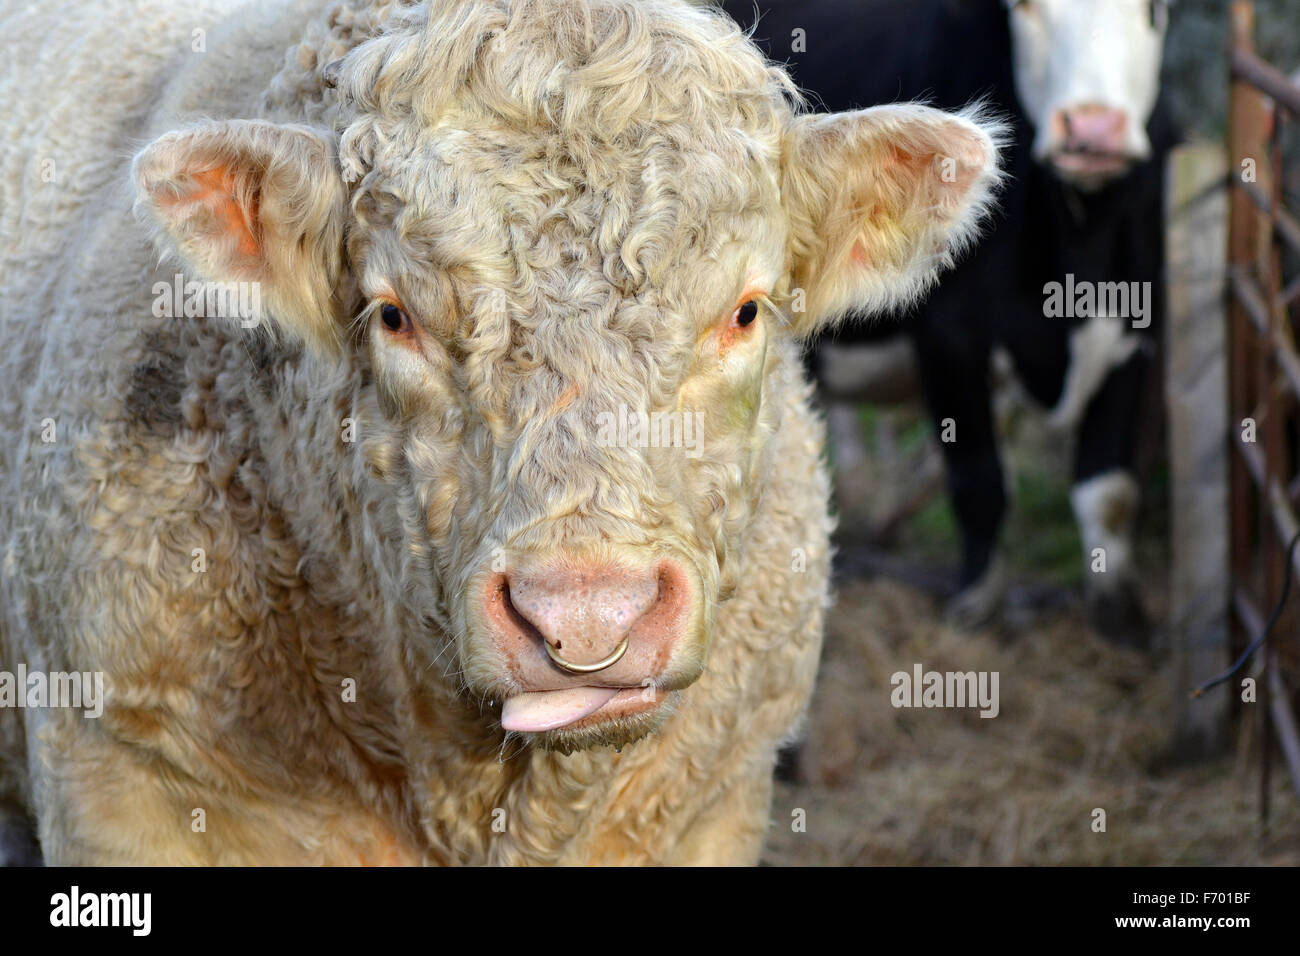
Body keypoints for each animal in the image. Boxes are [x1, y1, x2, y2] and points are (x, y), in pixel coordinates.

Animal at [722, 0, 1180, 647]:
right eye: (1026, 9)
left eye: (1155, 11)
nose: (1094, 130)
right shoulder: (952, 340)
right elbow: (979, 480)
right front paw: (977, 600)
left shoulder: (1135, 333)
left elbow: (1108, 490)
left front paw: (1119, 613)